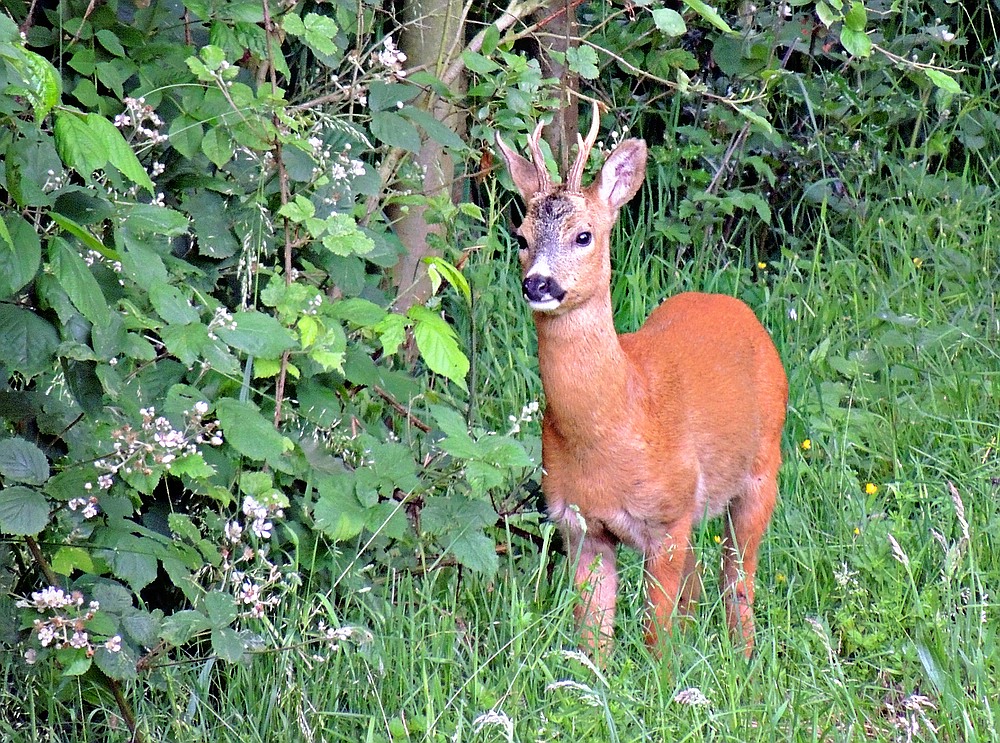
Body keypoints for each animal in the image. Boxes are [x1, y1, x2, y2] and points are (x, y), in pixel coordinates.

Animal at [496, 109, 784, 656]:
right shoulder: (578, 525)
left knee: (739, 575)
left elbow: (656, 636)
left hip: (763, 468)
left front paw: (665, 676)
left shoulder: (667, 516)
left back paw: (745, 656)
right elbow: (592, 640)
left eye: (584, 235)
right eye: (520, 237)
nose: (538, 283)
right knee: (702, 574)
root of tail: (734, 307)